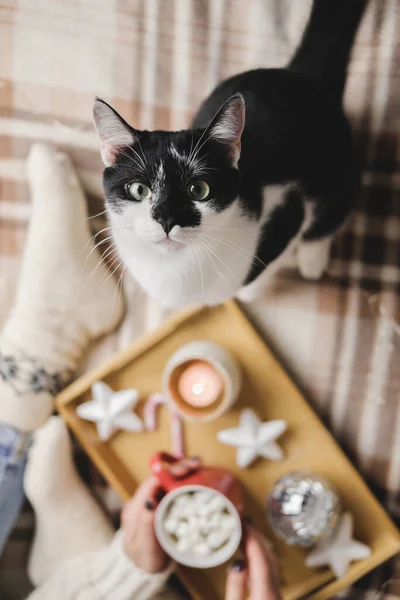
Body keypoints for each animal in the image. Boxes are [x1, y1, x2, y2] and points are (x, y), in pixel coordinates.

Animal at [93, 0, 366, 308]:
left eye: (198, 189)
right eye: (139, 189)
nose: (167, 220)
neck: (175, 269)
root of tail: (302, 75)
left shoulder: (288, 213)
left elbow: (263, 270)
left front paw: (249, 291)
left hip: (338, 168)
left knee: (333, 211)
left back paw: (312, 259)